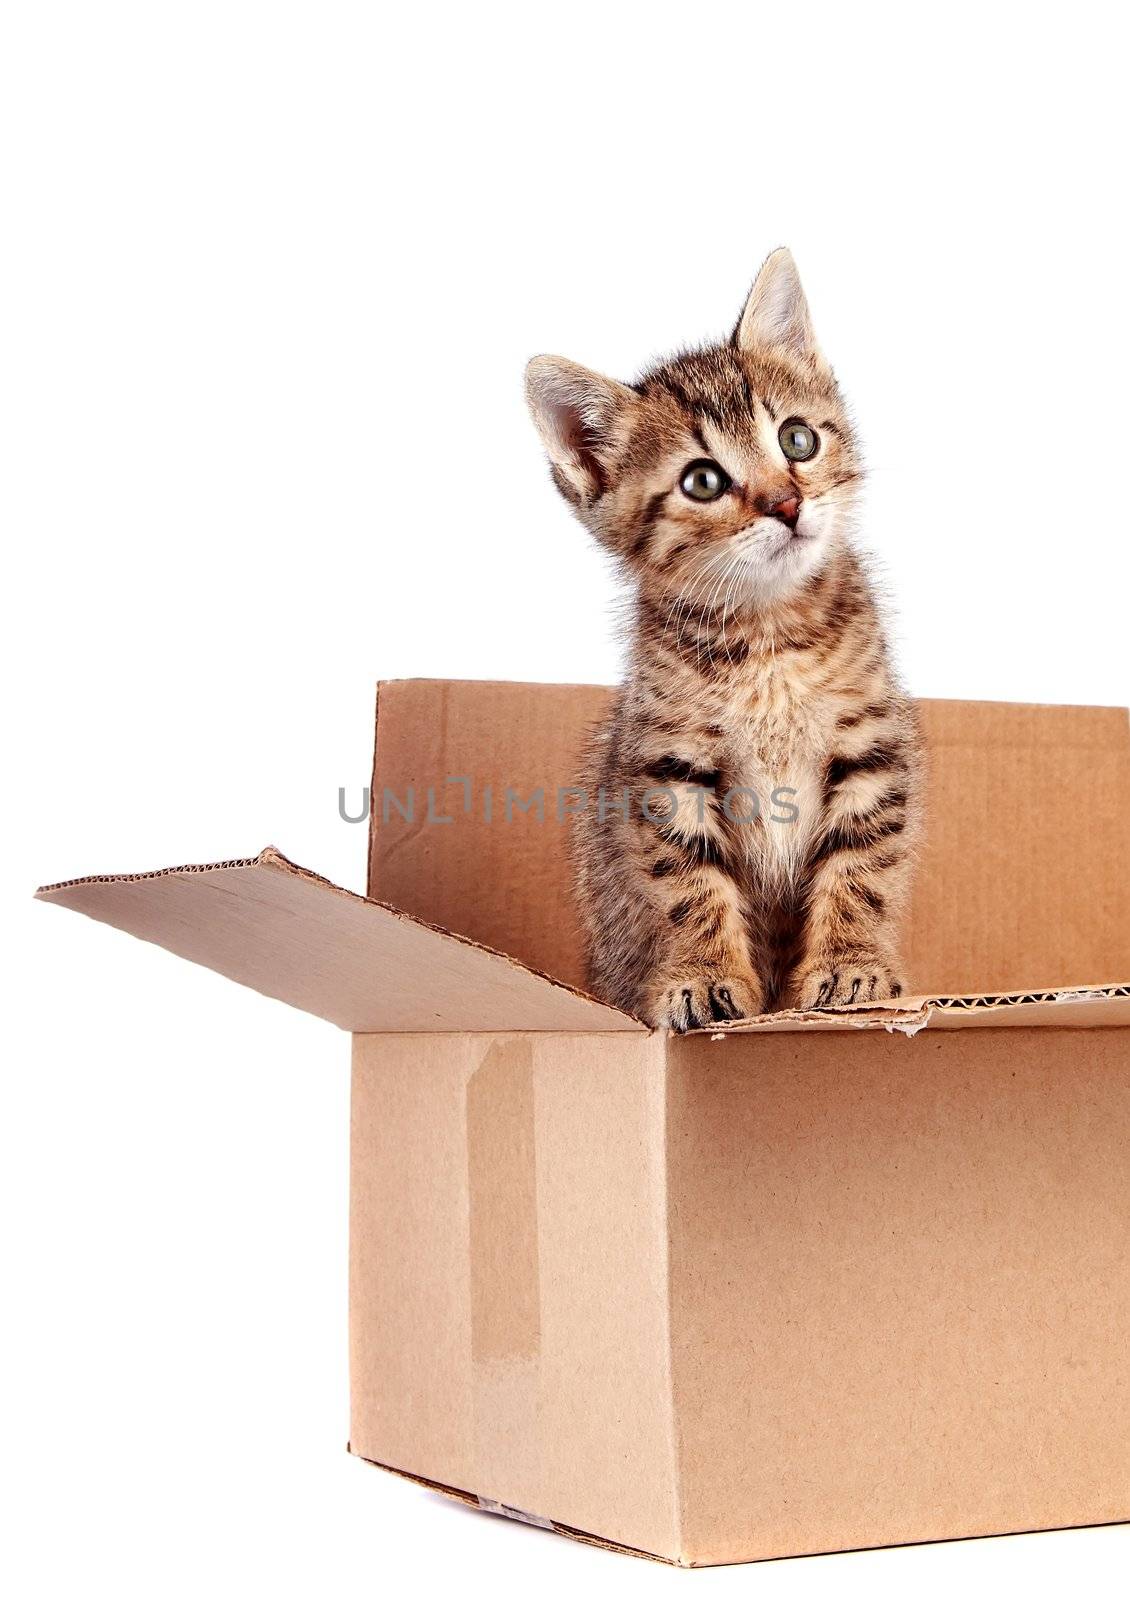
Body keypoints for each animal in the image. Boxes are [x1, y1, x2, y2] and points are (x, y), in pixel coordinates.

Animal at [524, 244, 921, 1030]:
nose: (788, 502)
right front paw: (704, 978)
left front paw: (852, 966)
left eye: (798, 438)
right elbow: (687, 885)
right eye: (703, 481)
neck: (768, 641)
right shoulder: (666, 769)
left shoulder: (870, 750)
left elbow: (861, 867)